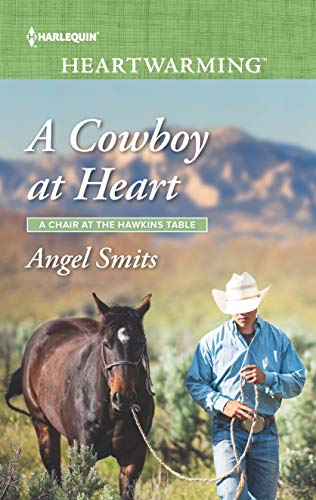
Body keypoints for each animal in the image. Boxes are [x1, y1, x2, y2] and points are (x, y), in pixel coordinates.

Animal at [6, 292, 155, 496]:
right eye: (106, 343)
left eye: (140, 342)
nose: (123, 397)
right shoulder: (80, 456)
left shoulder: (133, 458)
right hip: (43, 428)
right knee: (54, 473)